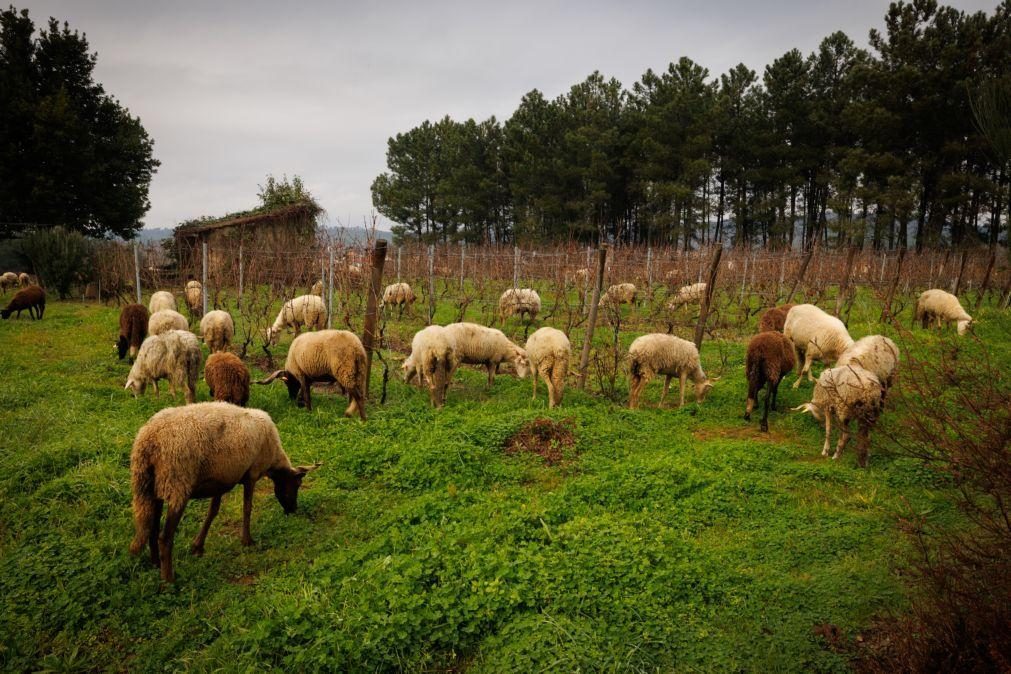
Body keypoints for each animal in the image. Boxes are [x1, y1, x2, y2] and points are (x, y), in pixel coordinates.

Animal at [128, 404, 315, 582]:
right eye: (297, 485)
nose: (293, 510)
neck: (273, 461)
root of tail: (148, 440)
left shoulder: (220, 480)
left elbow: (213, 512)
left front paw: (198, 546)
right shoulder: (252, 474)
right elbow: (247, 509)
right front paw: (247, 541)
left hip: (152, 486)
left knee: (152, 528)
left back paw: (155, 564)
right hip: (177, 484)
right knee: (165, 537)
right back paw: (169, 580)